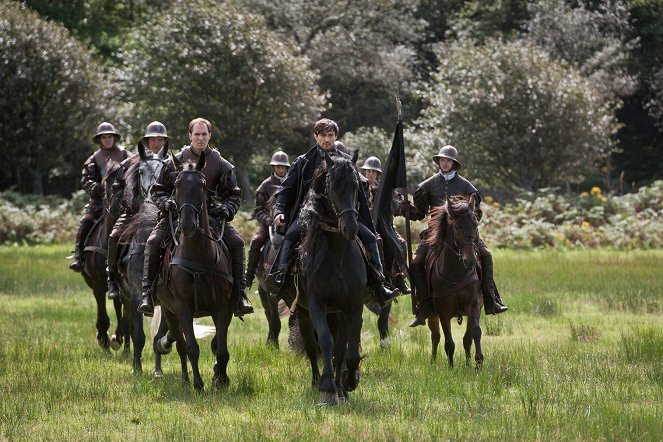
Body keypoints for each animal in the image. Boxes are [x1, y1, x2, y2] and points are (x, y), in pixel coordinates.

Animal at [152, 152, 235, 390]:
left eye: (201, 185)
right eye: (177, 184)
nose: (188, 225)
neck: (198, 255)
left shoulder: (222, 309)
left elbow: (221, 349)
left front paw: (221, 380)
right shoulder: (183, 309)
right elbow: (191, 348)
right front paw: (198, 384)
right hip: (169, 312)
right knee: (180, 345)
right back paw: (186, 380)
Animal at [426, 195, 482, 368]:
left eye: (475, 224)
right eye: (456, 227)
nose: (470, 261)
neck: (455, 274)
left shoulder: (473, 306)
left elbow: (474, 333)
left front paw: (478, 363)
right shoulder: (443, 312)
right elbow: (449, 342)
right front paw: (450, 368)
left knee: (466, 339)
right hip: (432, 315)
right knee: (435, 336)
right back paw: (433, 362)